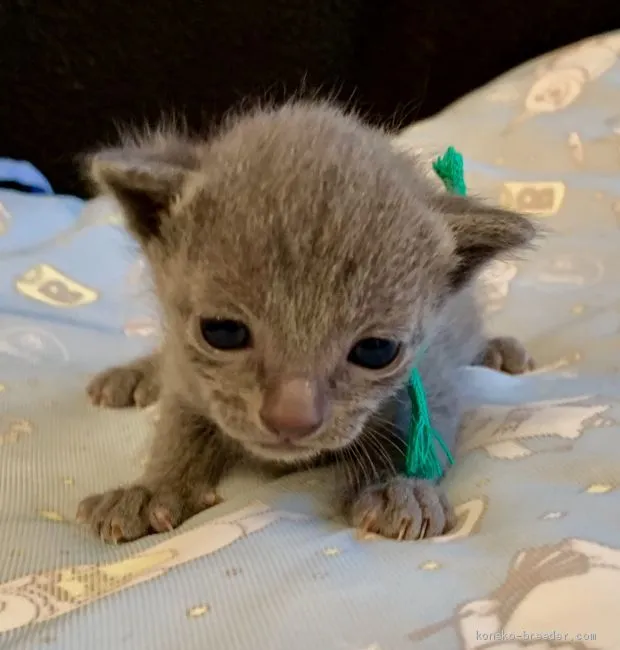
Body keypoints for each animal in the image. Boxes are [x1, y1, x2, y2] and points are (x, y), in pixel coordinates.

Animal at [77, 102, 536, 540]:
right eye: (222, 331)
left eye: (376, 350)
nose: (292, 419)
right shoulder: (190, 378)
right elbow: (179, 426)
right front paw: (151, 489)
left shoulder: (433, 372)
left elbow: (415, 430)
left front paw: (398, 489)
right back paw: (134, 374)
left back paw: (498, 351)